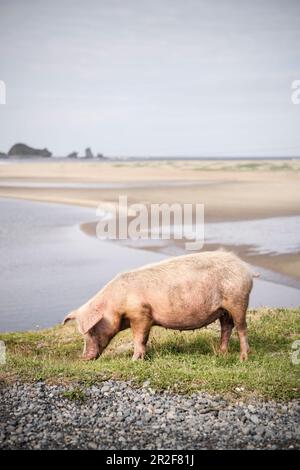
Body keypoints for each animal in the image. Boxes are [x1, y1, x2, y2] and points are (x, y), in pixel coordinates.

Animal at [62, 252, 258, 362]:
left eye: (91, 331)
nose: (83, 358)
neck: (115, 304)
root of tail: (246, 268)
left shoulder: (141, 313)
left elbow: (139, 337)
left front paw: (134, 360)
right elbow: (144, 339)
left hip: (238, 300)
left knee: (242, 327)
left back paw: (243, 358)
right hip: (223, 309)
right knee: (227, 327)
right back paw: (221, 353)